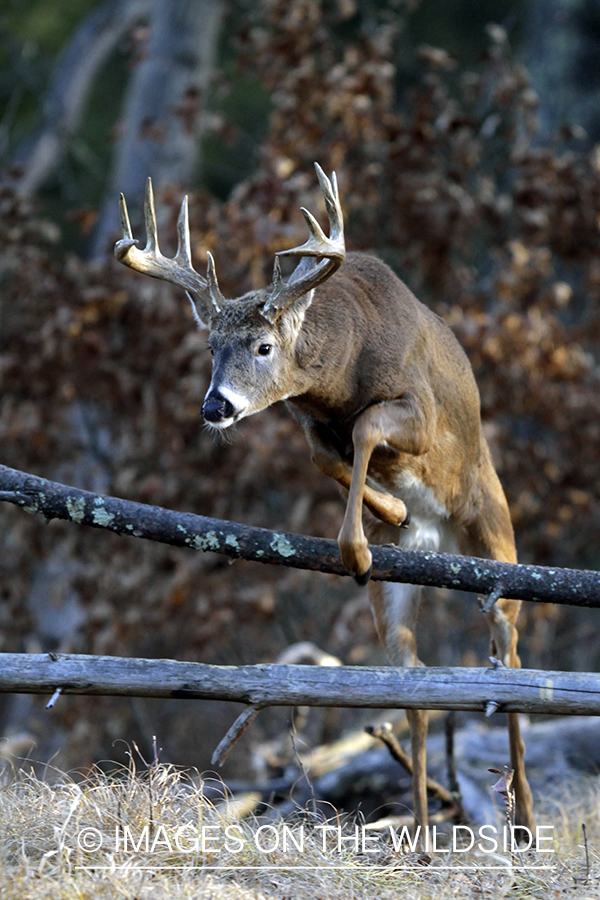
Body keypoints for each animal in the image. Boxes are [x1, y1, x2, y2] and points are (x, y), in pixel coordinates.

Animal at [113, 162, 536, 836]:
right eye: (210, 347)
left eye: (262, 346)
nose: (215, 406)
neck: (343, 371)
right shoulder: (310, 421)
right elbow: (324, 457)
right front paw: (388, 515)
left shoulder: (417, 410)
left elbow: (364, 430)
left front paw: (358, 545)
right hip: (399, 592)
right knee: (415, 686)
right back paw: (421, 833)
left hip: (496, 534)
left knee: (512, 657)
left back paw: (525, 820)